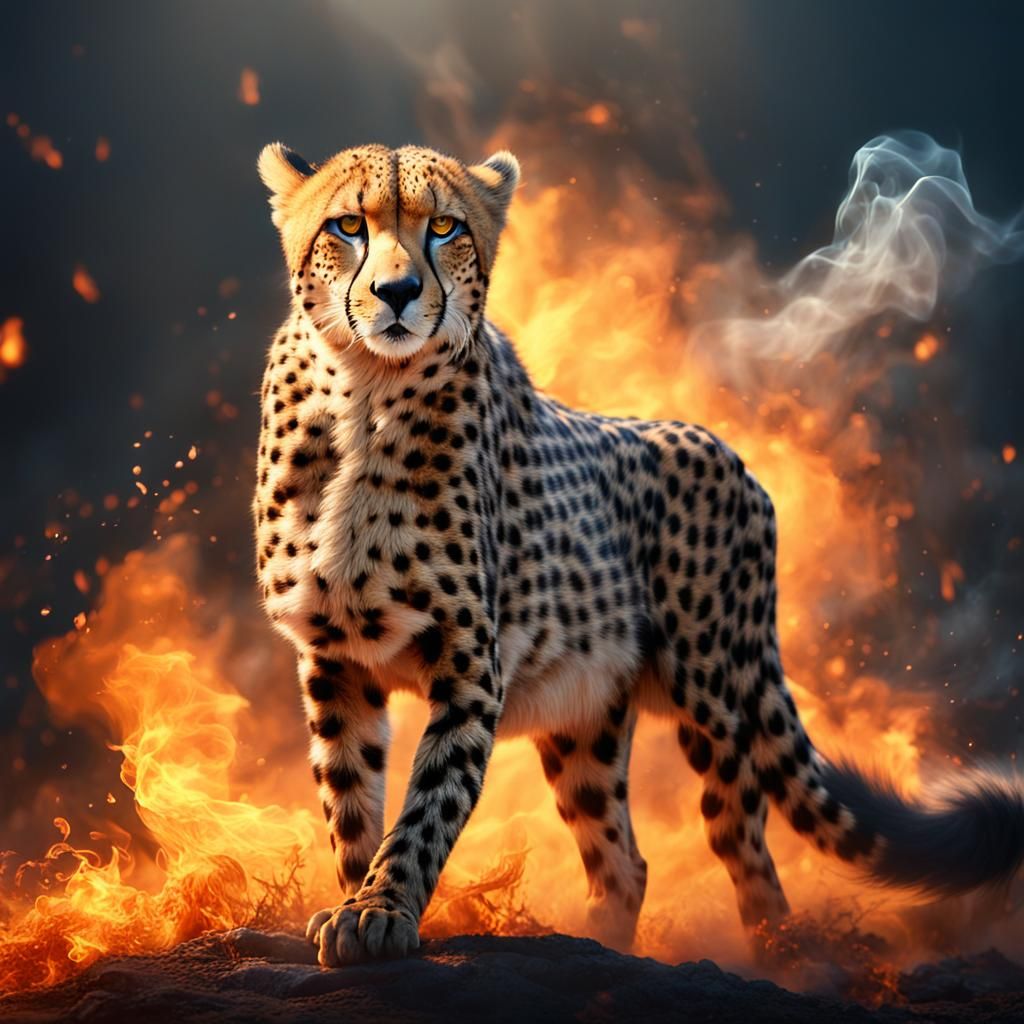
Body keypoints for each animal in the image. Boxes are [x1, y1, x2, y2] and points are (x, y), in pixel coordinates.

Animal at [253, 140, 1024, 966]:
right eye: (347, 226)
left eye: (445, 227)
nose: (396, 293)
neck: (364, 391)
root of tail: (733, 456)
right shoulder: (335, 659)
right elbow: (350, 805)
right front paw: (355, 901)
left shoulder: (469, 665)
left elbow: (430, 801)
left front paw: (382, 910)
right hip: (583, 718)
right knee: (625, 860)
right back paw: (595, 946)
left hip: (712, 697)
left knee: (745, 846)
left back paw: (779, 955)